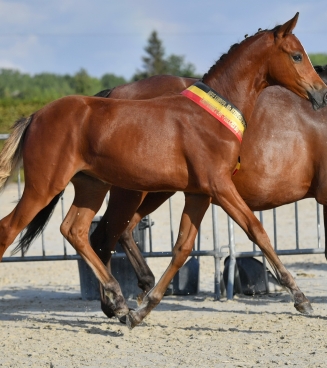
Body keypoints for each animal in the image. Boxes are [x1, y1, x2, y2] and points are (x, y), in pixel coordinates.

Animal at [0, 14, 327, 330]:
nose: (321, 93)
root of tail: (36, 115)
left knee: (78, 231)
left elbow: (182, 248)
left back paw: (119, 300)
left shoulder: (199, 194)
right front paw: (300, 298)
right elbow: (257, 231)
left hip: (93, 187)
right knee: (14, 228)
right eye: (297, 55)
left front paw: (141, 311)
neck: (213, 116)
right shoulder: (220, 186)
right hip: (50, 186)